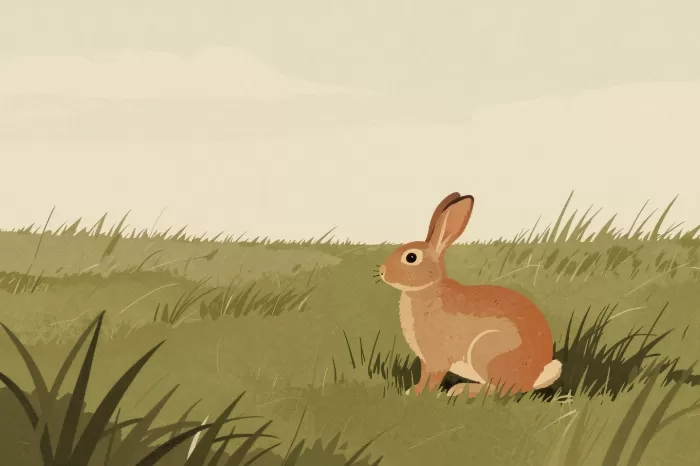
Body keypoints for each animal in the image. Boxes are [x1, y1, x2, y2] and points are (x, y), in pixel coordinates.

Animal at [378, 192, 562, 397]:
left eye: (411, 257)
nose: (382, 272)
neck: (428, 290)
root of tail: (536, 375)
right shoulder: (426, 360)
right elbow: (424, 376)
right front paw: (413, 390)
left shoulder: (438, 358)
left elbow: (433, 379)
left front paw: (420, 394)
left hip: (487, 350)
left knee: (501, 389)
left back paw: (461, 390)